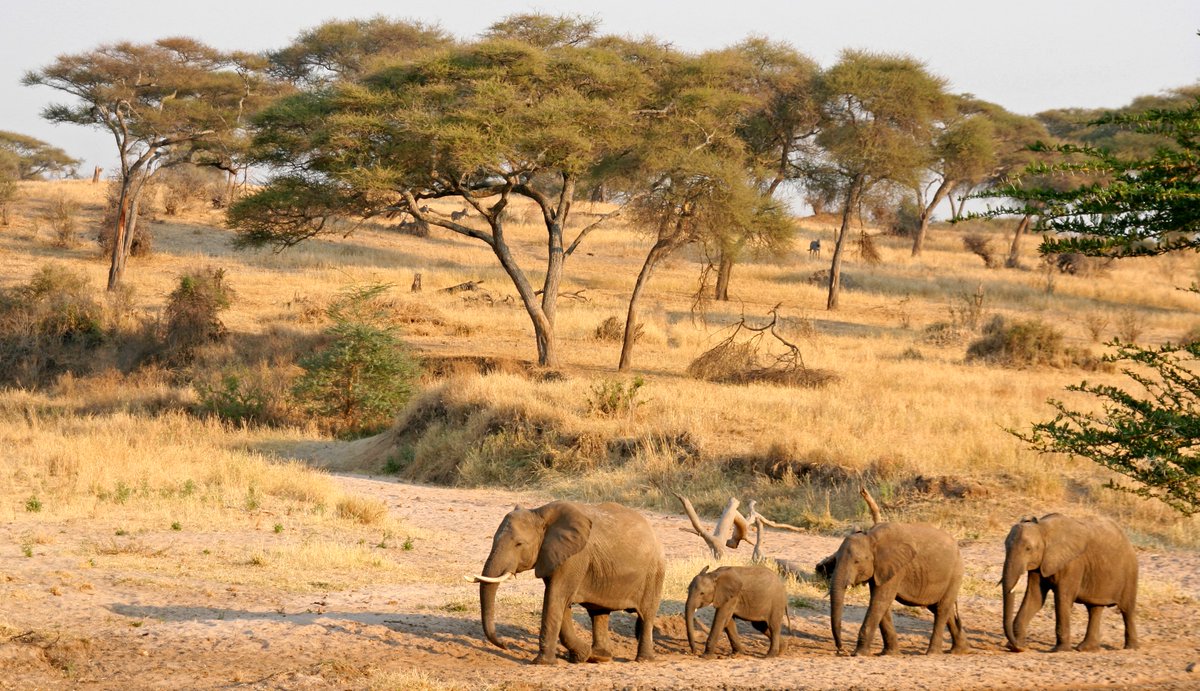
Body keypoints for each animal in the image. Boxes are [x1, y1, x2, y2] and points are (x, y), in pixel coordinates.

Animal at [465, 501, 665, 665]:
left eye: (519, 544)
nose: (505, 644)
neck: (539, 513)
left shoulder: (574, 558)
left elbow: (555, 597)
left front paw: (543, 663)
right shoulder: (552, 556)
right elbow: (561, 602)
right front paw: (583, 655)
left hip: (654, 573)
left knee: (646, 614)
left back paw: (643, 660)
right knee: (598, 613)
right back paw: (602, 657)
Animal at [829, 522, 969, 656]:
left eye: (857, 561)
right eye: (835, 560)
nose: (841, 650)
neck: (870, 537)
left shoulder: (896, 569)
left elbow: (880, 602)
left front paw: (859, 654)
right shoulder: (881, 570)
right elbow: (881, 604)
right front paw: (889, 654)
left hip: (955, 574)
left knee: (941, 609)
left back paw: (933, 653)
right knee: (941, 608)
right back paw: (959, 650)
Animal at [1001, 513, 1138, 653]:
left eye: (1028, 549)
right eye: (1005, 546)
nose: (1020, 647)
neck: (1043, 529)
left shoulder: (1073, 563)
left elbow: (1063, 599)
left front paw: (1060, 650)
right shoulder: (1040, 564)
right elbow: (1035, 598)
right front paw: (1015, 646)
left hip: (1130, 573)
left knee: (1127, 609)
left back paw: (1131, 648)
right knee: (1094, 608)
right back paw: (1086, 649)